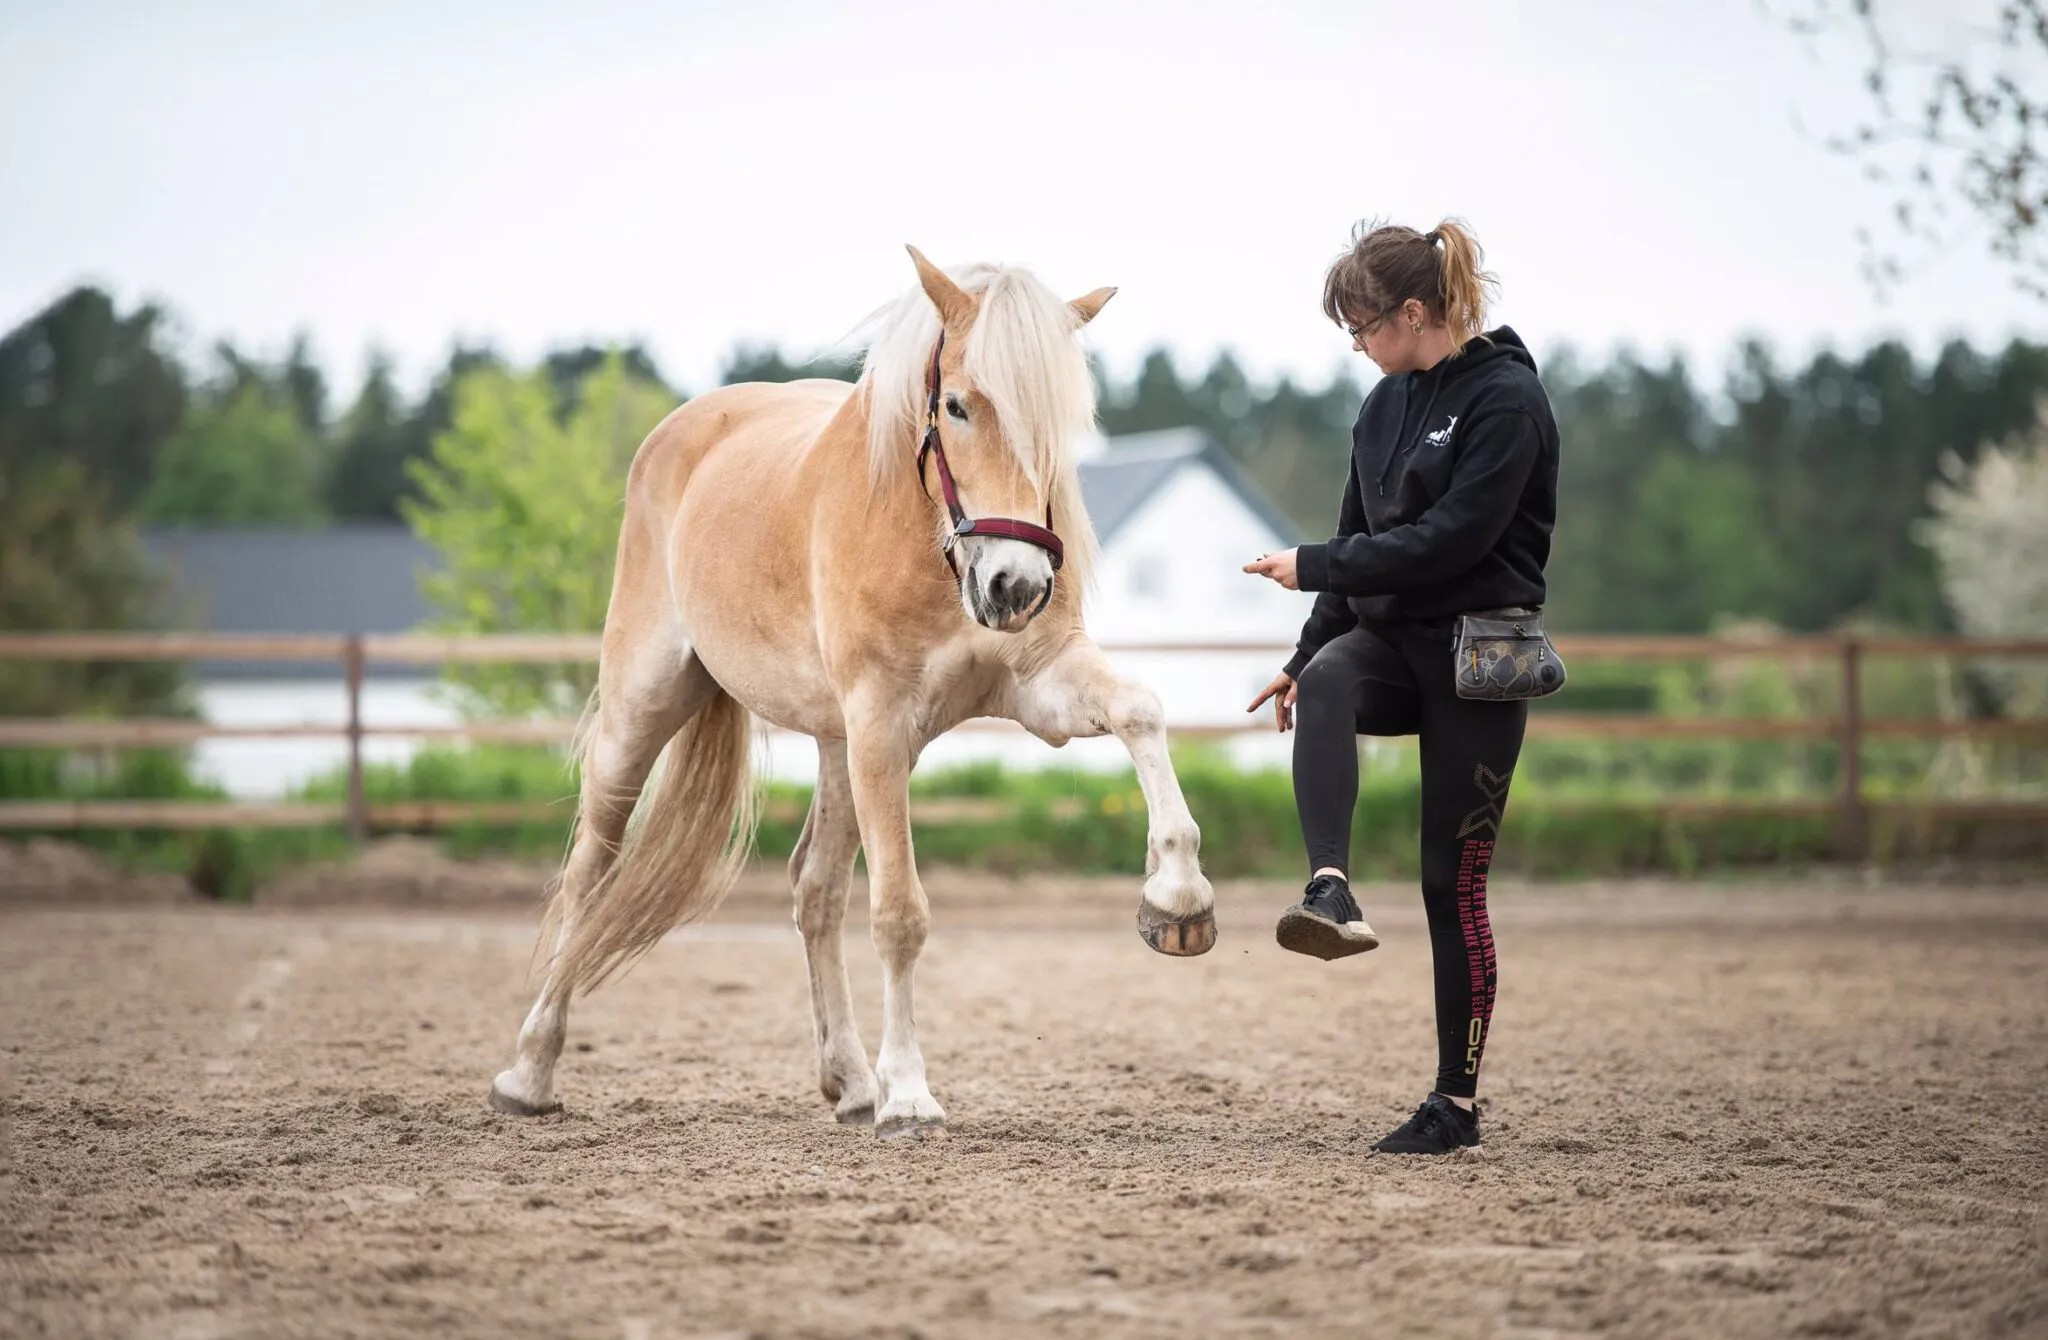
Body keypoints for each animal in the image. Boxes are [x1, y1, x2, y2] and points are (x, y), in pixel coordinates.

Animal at [487, 247, 1218, 1137]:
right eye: (957, 406)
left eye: (1062, 423)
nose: (1016, 587)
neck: (924, 538)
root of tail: (682, 429)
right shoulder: (881, 725)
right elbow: (899, 914)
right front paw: (909, 1092)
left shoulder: (1041, 685)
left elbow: (1140, 710)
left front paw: (1177, 898)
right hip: (646, 705)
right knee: (591, 870)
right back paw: (530, 1070)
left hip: (833, 743)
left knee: (815, 890)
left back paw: (848, 1078)